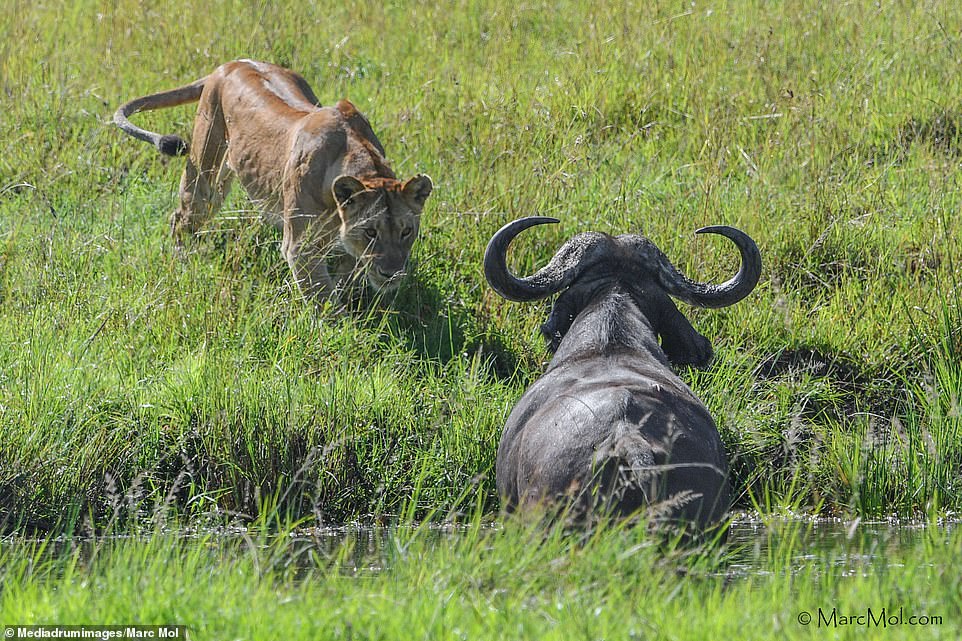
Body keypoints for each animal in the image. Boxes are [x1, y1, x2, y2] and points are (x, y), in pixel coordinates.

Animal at [113, 59, 433, 302]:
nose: (391, 273)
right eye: (371, 232)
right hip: (204, 172)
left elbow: (344, 278)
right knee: (181, 217)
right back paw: (182, 261)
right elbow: (325, 300)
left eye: (406, 231)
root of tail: (228, 65)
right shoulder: (301, 247)